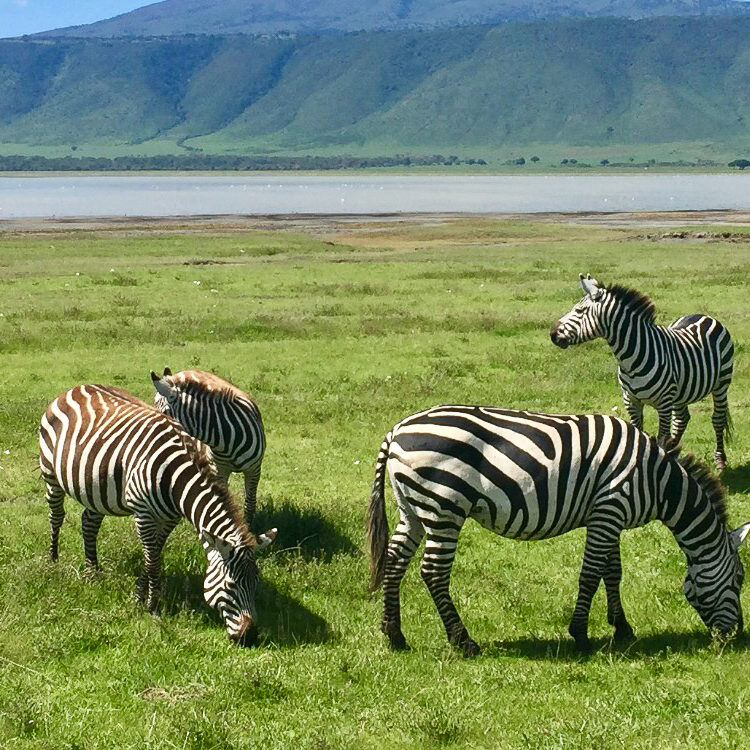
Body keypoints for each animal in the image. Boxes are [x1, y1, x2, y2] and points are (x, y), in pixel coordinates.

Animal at [39, 384, 280, 648]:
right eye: (231, 585)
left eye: (256, 583)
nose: (250, 638)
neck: (175, 479)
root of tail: (77, 387)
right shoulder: (143, 513)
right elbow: (153, 560)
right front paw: (151, 606)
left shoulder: (169, 518)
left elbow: (153, 554)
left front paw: (140, 595)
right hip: (50, 473)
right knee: (56, 516)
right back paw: (53, 561)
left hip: (95, 488)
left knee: (89, 524)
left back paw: (92, 572)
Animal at [151, 368, 266, 524]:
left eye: (164, 414)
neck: (227, 443)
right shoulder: (219, 470)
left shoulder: (254, 469)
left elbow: (250, 502)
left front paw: (249, 523)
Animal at [368, 406, 748, 656]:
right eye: (739, 580)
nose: (737, 636)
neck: (657, 480)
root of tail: (397, 430)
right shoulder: (610, 508)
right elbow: (591, 574)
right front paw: (581, 635)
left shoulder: (607, 515)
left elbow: (613, 572)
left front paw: (622, 627)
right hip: (444, 505)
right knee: (432, 571)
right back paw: (464, 642)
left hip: (413, 508)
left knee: (394, 560)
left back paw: (394, 635)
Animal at [552, 274, 736, 472]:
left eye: (579, 310)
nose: (552, 334)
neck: (631, 360)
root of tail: (703, 315)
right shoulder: (631, 400)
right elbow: (638, 432)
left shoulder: (664, 403)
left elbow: (662, 437)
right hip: (681, 391)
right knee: (681, 419)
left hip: (721, 384)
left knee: (717, 419)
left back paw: (720, 461)